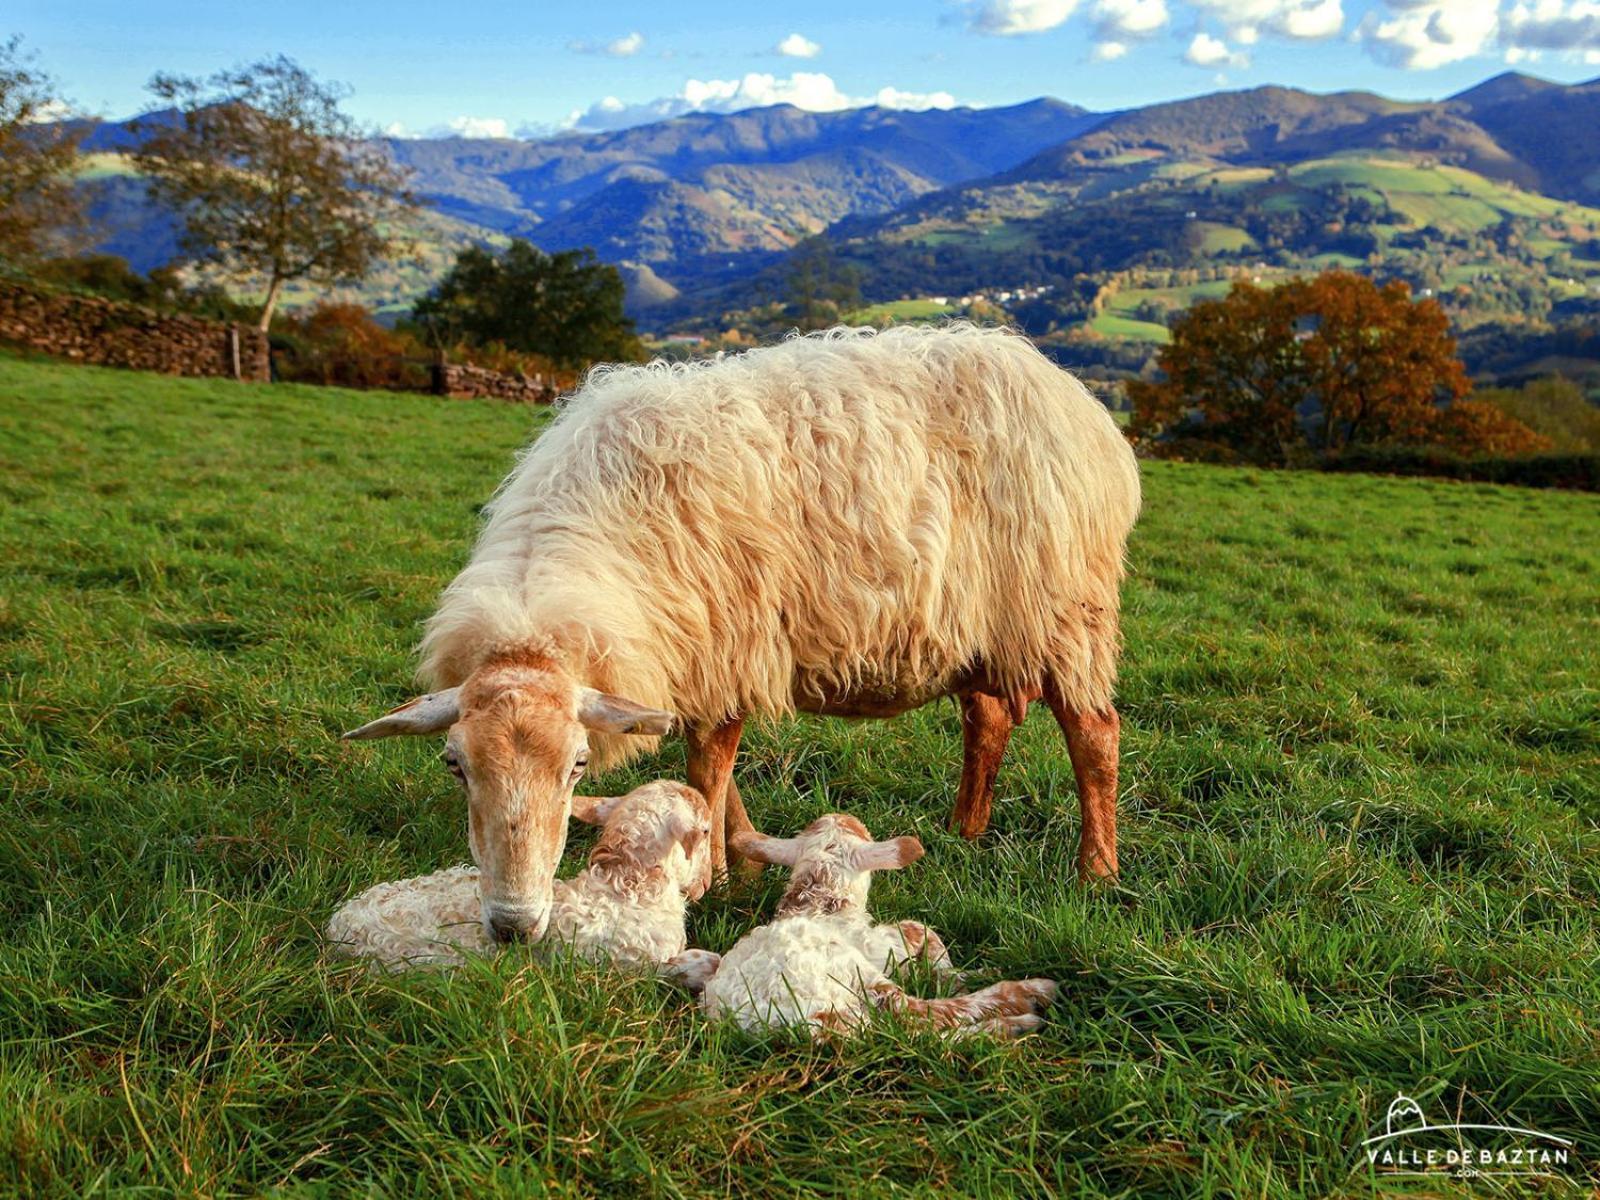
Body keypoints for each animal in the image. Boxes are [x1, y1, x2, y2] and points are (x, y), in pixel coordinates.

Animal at [347, 324, 1152, 947]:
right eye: (454, 765)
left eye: (578, 766)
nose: (513, 927)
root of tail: (1074, 396)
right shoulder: (699, 659)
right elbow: (716, 776)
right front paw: (741, 858)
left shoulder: (727, 642)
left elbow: (709, 763)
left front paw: (713, 879)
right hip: (977, 629)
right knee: (987, 720)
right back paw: (964, 831)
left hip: (1064, 609)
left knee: (1094, 736)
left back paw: (1097, 871)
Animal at [665, 819, 1062, 1043]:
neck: (820, 899)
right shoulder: (881, 945)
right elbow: (924, 933)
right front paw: (959, 973)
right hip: (852, 976)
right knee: (916, 1019)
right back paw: (1027, 1001)